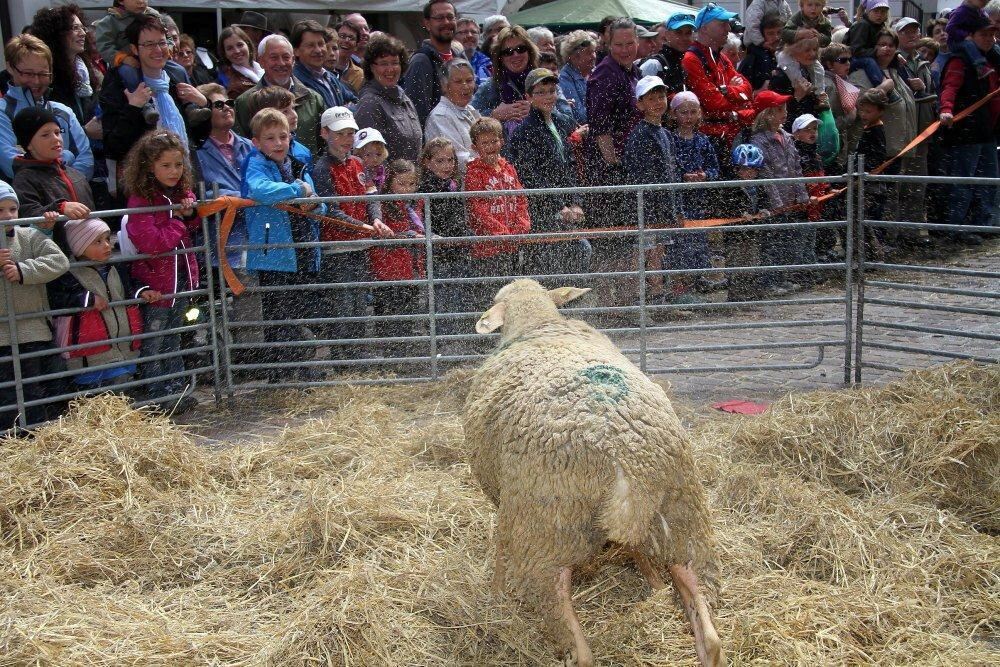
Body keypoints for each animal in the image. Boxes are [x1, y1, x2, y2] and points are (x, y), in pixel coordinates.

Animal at [464, 280, 724, 667]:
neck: (539, 323)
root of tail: (625, 454)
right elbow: (637, 551)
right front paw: (653, 584)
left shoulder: (504, 496)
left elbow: (499, 546)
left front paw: (495, 595)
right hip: (680, 513)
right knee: (704, 619)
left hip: (548, 527)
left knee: (567, 619)